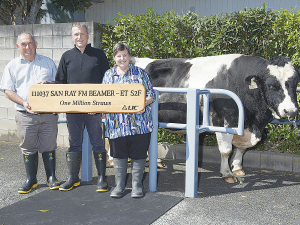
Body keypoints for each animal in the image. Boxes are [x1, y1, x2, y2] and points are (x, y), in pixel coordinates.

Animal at [130, 54, 298, 183]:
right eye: (271, 85)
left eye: (295, 83)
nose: (291, 112)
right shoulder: (223, 121)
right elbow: (226, 150)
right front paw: (227, 174)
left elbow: (242, 148)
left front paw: (238, 168)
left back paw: (156, 161)